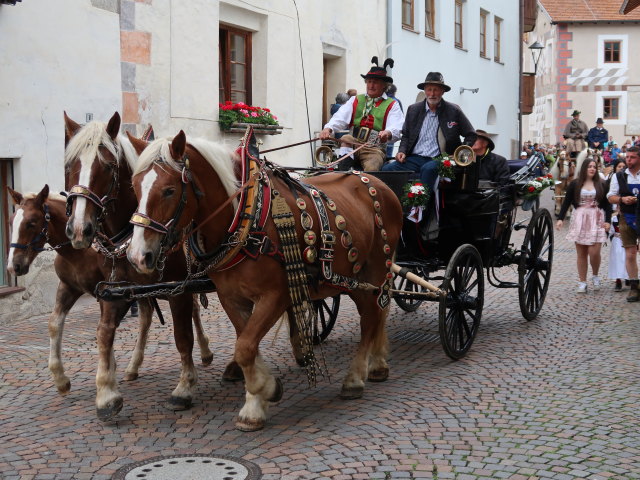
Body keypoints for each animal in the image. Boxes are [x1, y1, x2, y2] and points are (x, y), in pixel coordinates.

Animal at [7, 185, 211, 394]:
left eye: (31, 223)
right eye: (11, 222)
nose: (14, 266)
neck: (79, 252)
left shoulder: (113, 292)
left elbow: (107, 327)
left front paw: (107, 374)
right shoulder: (69, 287)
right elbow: (55, 323)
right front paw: (61, 378)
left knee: (192, 309)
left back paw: (204, 351)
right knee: (147, 315)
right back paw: (133, 366)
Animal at [62, 112, 219, 420]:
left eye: (108, 166)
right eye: (70, 165)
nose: (79, 229)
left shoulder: (177, 289)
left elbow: (182, 337)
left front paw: (184, 387)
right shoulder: (115, 290)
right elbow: (104, 333)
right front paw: (106, 393)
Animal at [126, 128, 400, 432]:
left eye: (169, 190)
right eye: (134, 187)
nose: (137, 256)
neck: (245, 217)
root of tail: (377, 182)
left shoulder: (275, 296)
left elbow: (245, 347)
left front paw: (259, 397)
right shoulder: (232, 298)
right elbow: (245, 344)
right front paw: (261, 395)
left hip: (376, 269)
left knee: (372, 315)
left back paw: (355, 377)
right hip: (355, 276)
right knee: (377, 311)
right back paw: (376, 364)